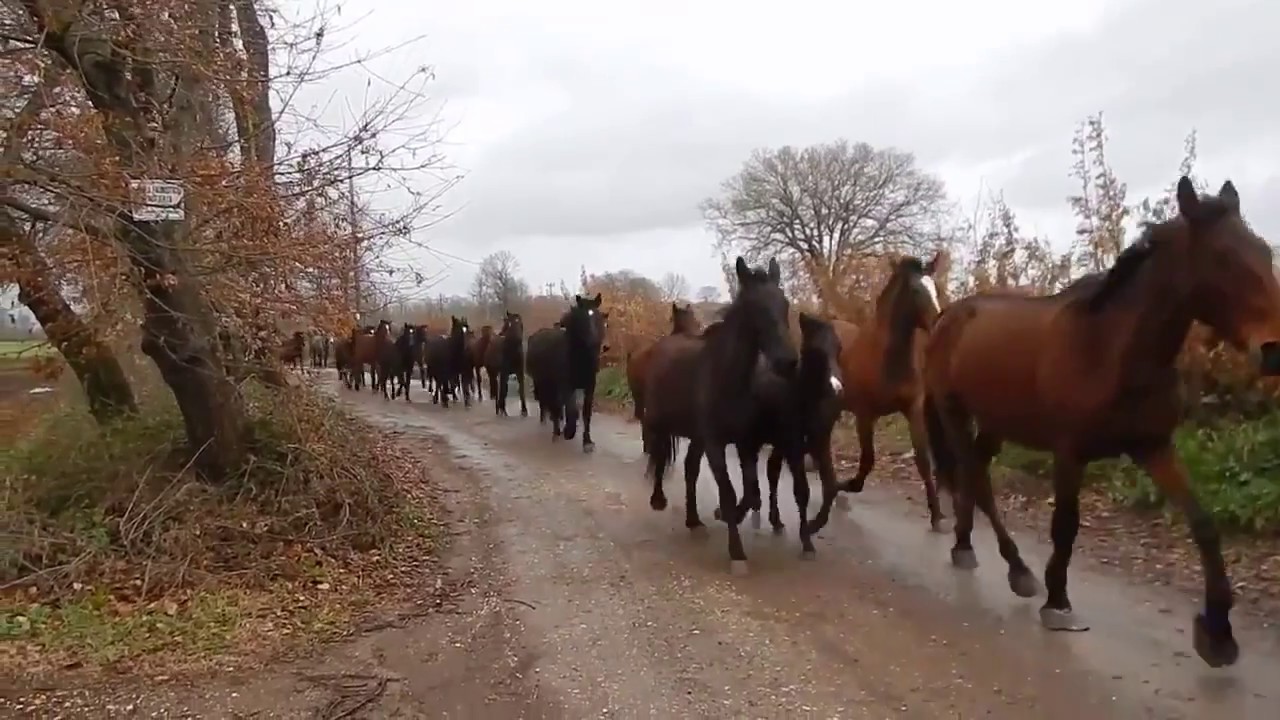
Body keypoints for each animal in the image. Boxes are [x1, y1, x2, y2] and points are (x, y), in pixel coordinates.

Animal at [643, 257, 798, 573]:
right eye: (756, 307)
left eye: (785, 304)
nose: (787, 361)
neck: (727, 378)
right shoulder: (715, 444)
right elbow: (728, 491)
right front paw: (736, 552)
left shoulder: (745, 443)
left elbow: (751, 491)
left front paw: (726, 516)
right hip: (663, 424)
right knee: (661, 456)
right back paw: (658, 499)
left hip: (697, 437)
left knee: (690, 469)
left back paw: (693, 521)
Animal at [833, 252, 949, 532]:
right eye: (916, 290)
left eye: (935, 288)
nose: (938, 324)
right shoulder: (865, 415)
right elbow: (867, 460)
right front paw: (847, 486)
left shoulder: (913, 408)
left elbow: (923, 460)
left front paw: (937, 515)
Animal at [920, 177, 1280, 669]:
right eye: (1223, 257)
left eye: (1263, 250)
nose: (1274, 350)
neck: (1111, 350)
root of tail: (949, 317)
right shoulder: (1070, 452)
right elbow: (1066, 525)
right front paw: (1057, 602)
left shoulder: (1154, 446)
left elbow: (1204, 526)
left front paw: (1218, 633)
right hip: (955, 413)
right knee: (975, 480)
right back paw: (1014, 568)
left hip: (994, 423)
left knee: (974, 478)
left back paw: (968, 547)